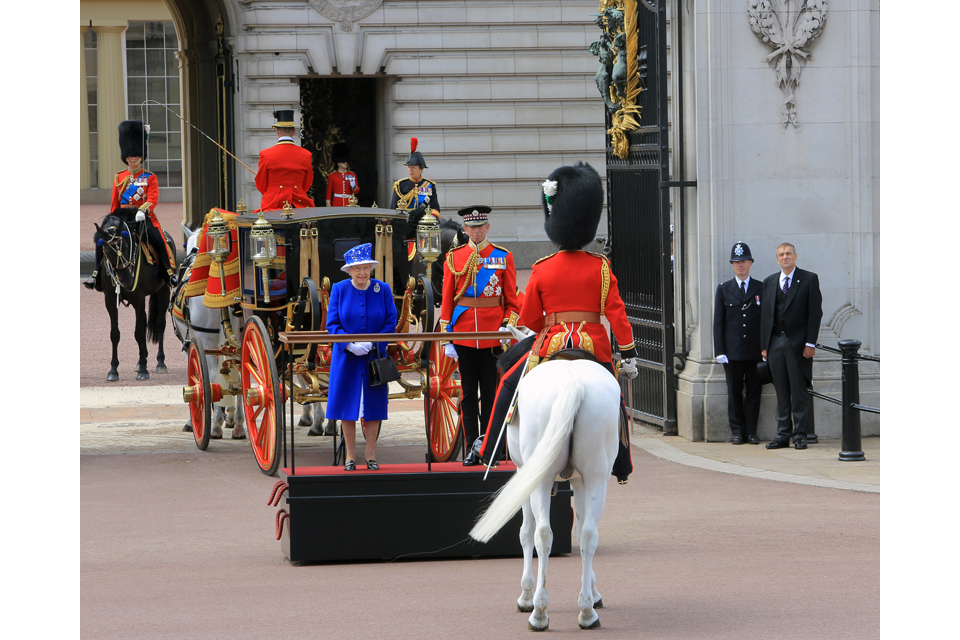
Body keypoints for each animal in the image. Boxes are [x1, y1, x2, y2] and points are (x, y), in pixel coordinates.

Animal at [94, 208, 177, 382]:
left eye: (126, 246)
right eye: (106, 250)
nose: (127, 280)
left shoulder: (139, 299)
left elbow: (139, 333)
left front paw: (144, 370)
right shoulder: (110, 300)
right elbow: (115, 334)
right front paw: (113, 370)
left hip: (164, 290)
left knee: (160, 324)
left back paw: (160, 362)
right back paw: (140, 361)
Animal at [468, 358, 620, 632]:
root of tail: (573, 383)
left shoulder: (524, 472)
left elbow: (526, 532)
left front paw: (526, 596)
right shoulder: (580, 480)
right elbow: (580, 532)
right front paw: (593, 593)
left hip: (540, 478)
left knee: (542, 534)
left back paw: (539, 611)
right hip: (596, 477)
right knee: (589, 534)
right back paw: (586, 612)